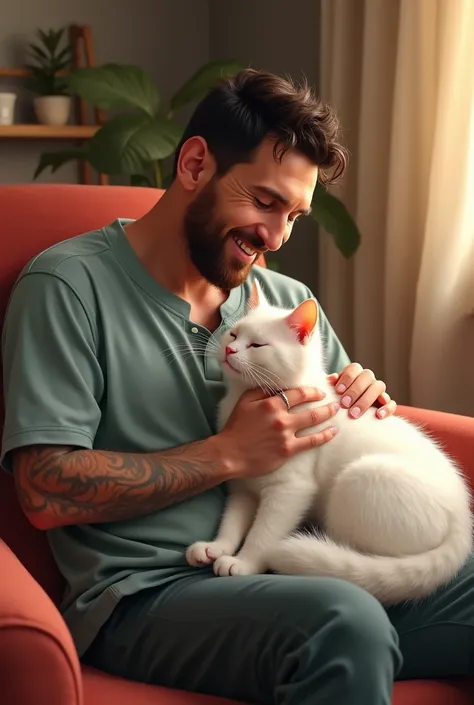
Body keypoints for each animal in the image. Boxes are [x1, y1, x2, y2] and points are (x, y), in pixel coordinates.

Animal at [185, 284, 470, 604]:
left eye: (257, 345)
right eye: (234, 335)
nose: (229, 349)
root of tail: (463, 521)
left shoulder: (290, 488)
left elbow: (264, 531)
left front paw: (245, 562)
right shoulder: (243, 488)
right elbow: (232, 520)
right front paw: (217, 547)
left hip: (359, 477)